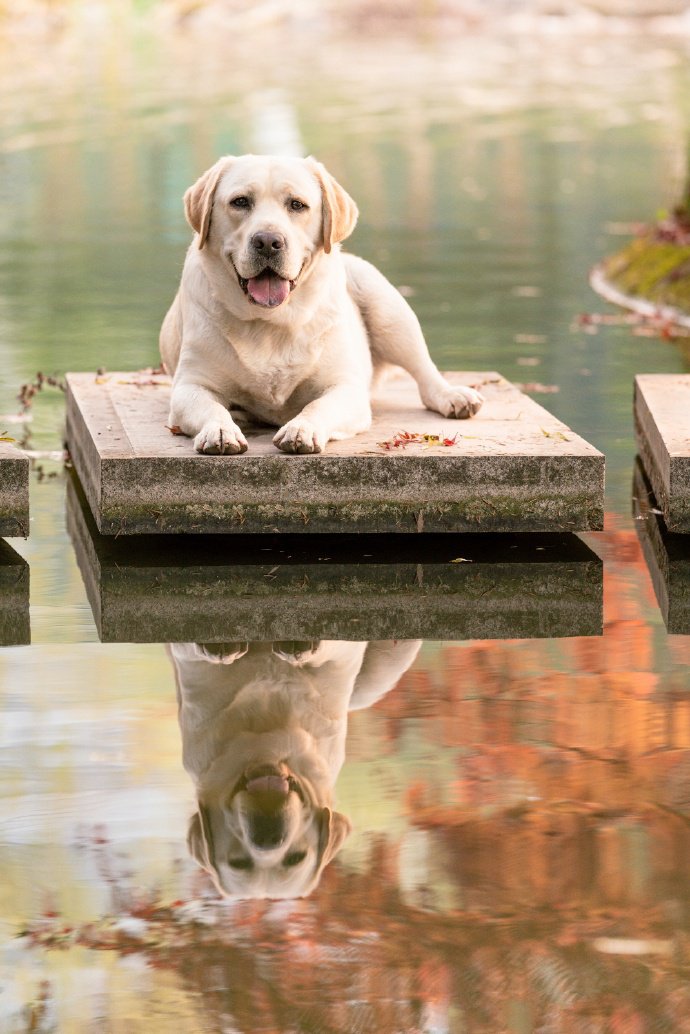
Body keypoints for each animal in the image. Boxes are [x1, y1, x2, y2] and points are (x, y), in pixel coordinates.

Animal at [160, 155, 486, 454]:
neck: (271, 321)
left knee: (424, 371)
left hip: (385, 305)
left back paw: (453, 396)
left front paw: (301, 429)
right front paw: (220, 430)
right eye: (240, 202)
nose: (268, 241)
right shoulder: (190, 385)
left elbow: (318, 407)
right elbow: (211, 407)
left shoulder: (346, 387)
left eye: (297, 205)